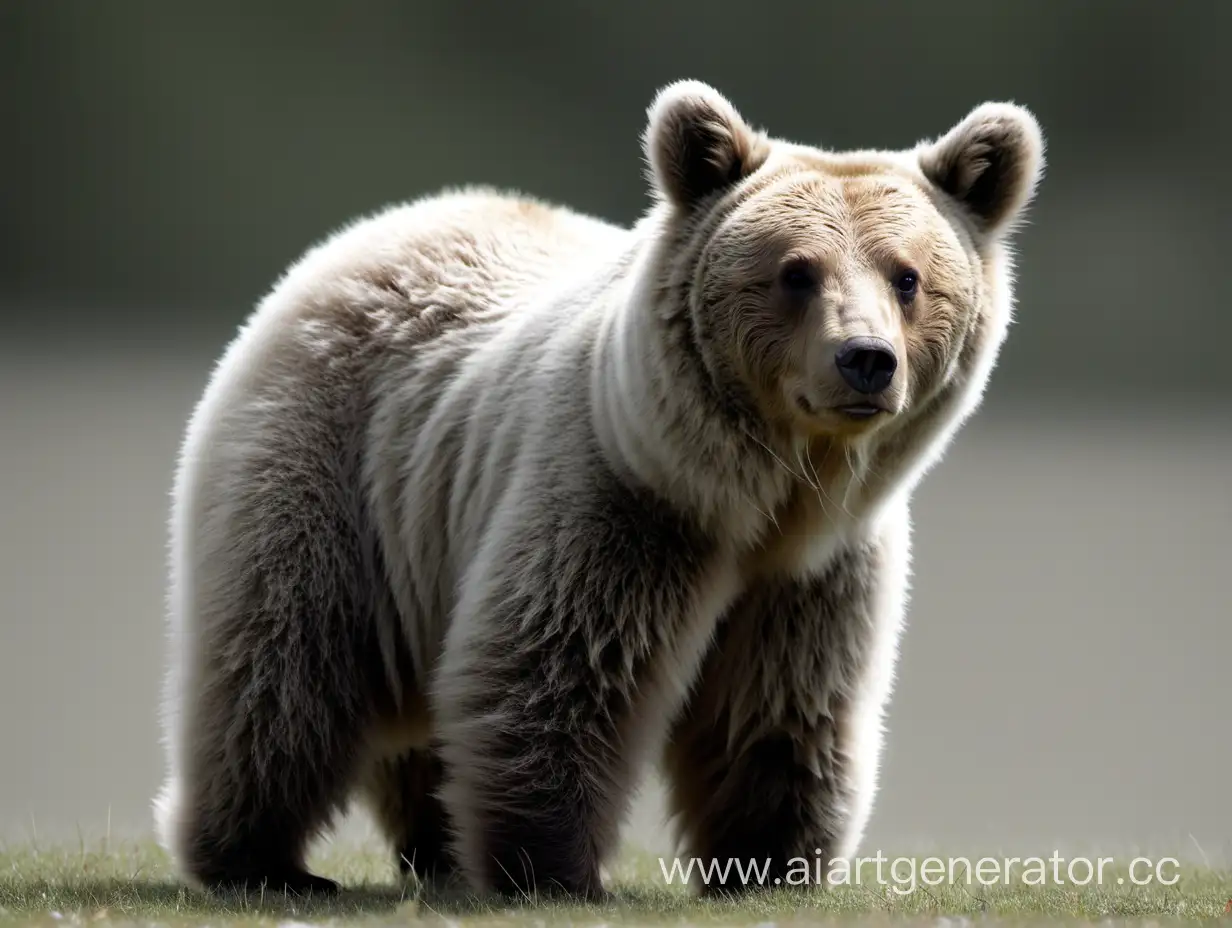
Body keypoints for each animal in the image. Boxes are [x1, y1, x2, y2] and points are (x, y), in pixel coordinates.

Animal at [151, 79, 1039, 897]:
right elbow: (562, 671)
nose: (865, 360)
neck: (754, 494)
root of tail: (367, 233)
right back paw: (258, 858)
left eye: (907, 276)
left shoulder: (814, 572)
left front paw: (769, 863)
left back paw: (431, 850)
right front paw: (550, 866)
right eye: (796, 272)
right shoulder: (620, 503)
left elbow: (779, 706)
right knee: (283, 666)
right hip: (336, 470)